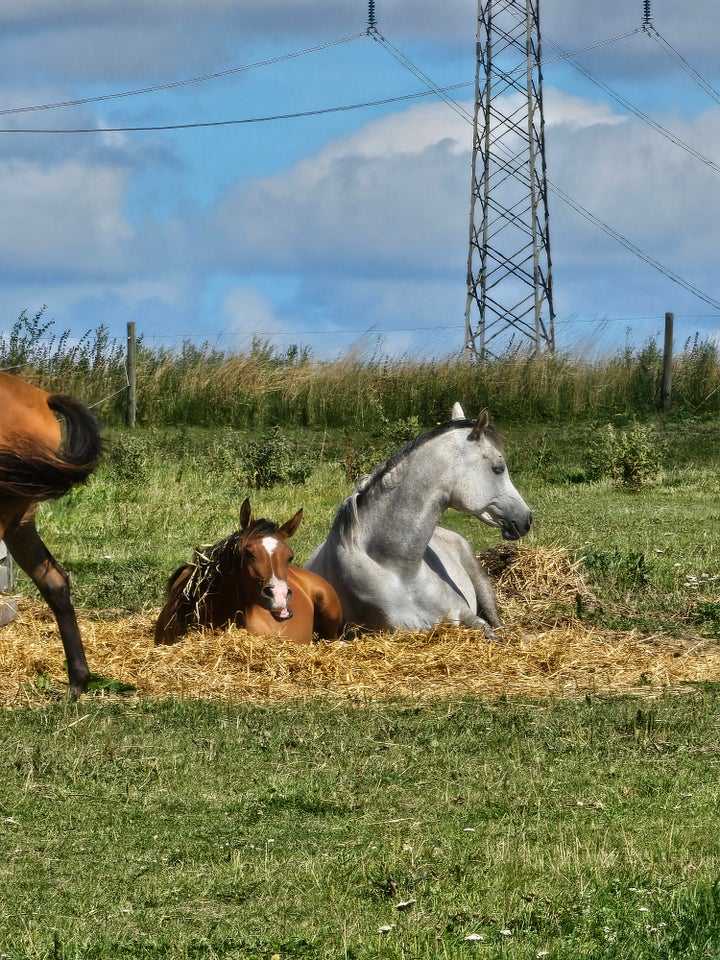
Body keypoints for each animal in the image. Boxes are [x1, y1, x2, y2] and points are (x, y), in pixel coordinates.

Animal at [306, 404, 532, 636]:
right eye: (498, 468)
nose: (526, 518)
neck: (400, 571)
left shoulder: (464, 613)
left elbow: (492, 633)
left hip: (481, 581)